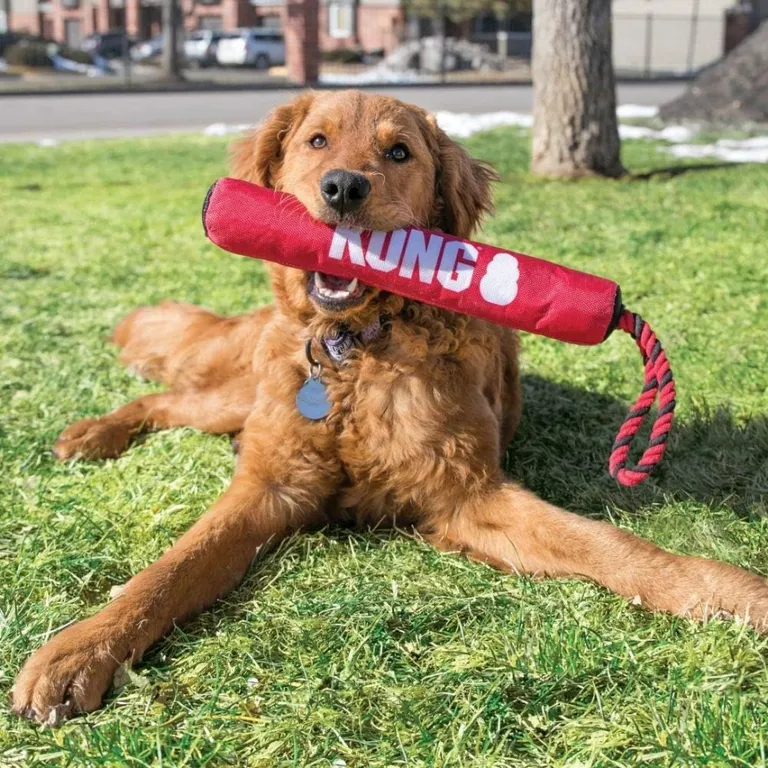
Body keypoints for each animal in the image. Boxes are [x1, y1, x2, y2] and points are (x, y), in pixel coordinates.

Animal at [10, 91, 768, 728]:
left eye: (399, 152)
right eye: (316, 141)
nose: (344, 187)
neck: (355, 354)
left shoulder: (469, 495)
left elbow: (616, 548)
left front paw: (735, 595)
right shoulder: (272, 483)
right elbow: (169, 570)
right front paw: (79, 650)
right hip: (237, 394)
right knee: (163, 396)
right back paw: (92, 433)